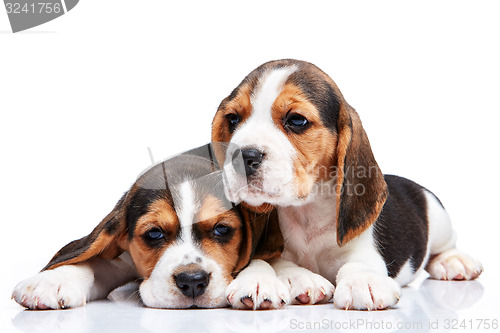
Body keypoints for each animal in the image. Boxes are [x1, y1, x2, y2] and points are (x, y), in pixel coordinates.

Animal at [11, 145, 290, 308]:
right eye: (154, 233)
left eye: (221, 229)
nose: (192, 282)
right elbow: (91, 263)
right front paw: (53, 281)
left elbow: (257, 256)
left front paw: (257, 280)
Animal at [211, 58, 484, 310]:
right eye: (233, 119)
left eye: (297, 120)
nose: (242, 156)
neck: (305, 212)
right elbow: (270, 261)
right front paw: (267, 279)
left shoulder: (363, 249)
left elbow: (358, 264)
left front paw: (362, 282)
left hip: (438, 218)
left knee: (445, 245)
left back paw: (454, 261)